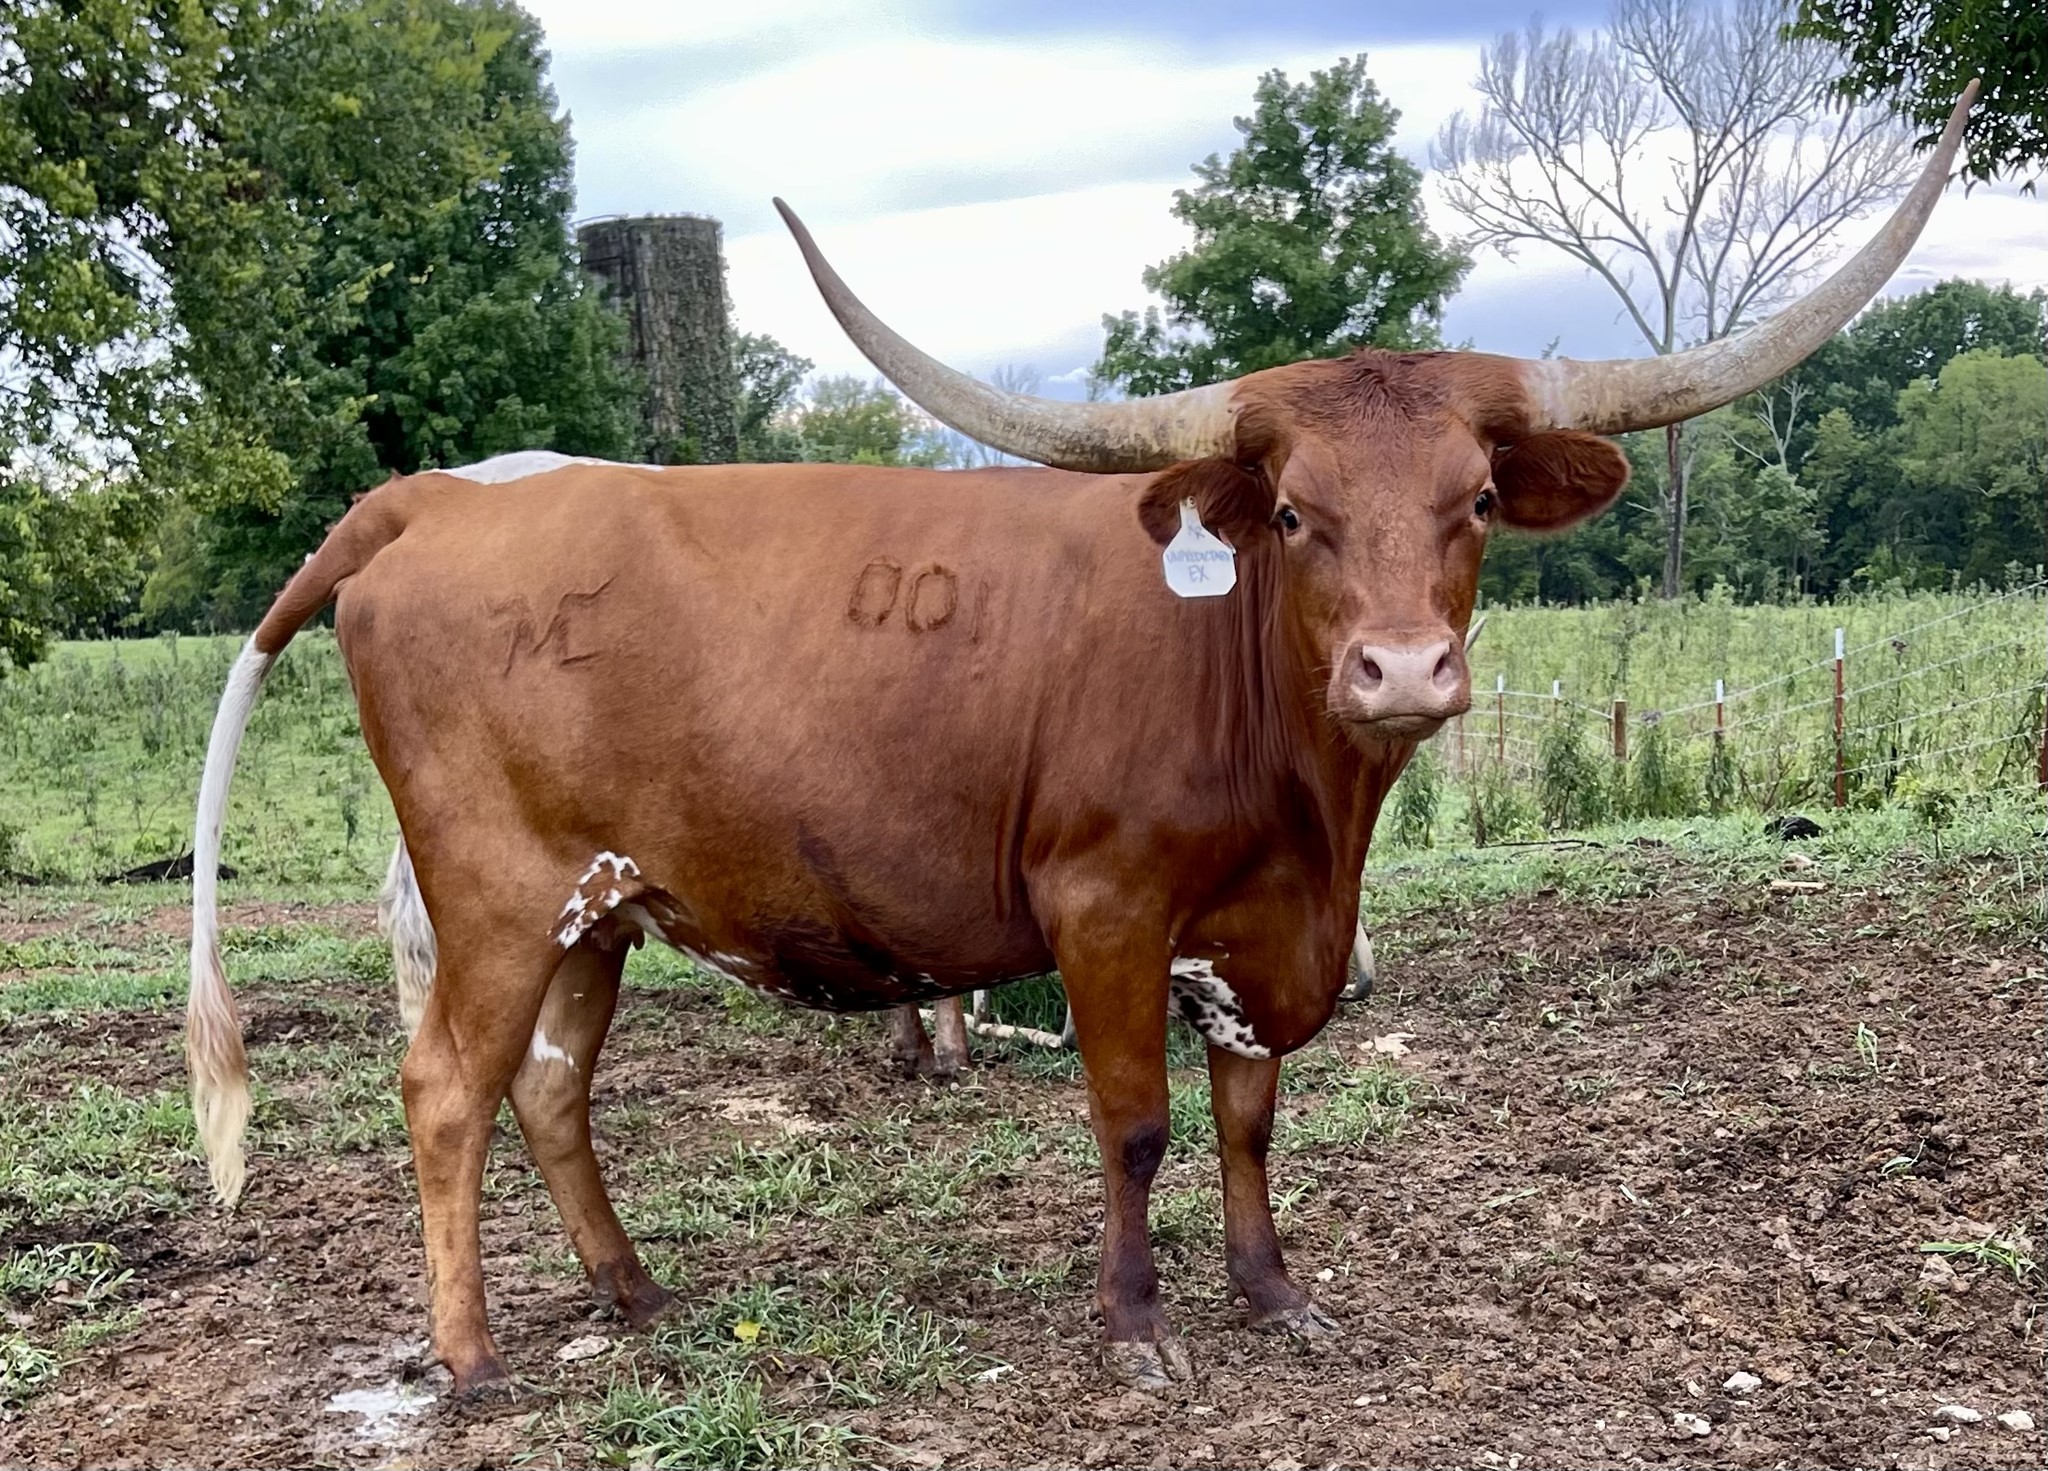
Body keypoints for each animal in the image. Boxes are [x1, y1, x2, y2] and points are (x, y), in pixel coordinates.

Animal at [185, 92, 1972, 1396]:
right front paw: (1139, 1326)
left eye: (1472, 501)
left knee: (550, 1088)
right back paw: (472, 1357)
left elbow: (1251, 1112)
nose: (1404, 669)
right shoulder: (1102, 906)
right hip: (495, 893)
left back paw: (633, 1291)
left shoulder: (1255, 931)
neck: (1312, 810)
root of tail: (440, 497)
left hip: (599, 906)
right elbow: (1137, 1118)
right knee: (445, 1090)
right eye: (1296, 514)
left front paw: (1271, 1291)